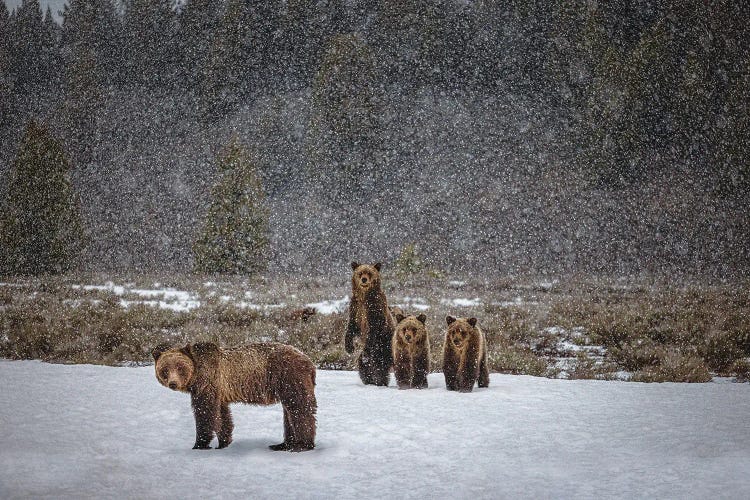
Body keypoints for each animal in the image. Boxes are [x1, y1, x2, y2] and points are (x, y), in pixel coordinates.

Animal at [153, 342, 318, 452]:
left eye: (180, 368)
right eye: (165, 369)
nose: (173, 383)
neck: (196, 376)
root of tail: (309, 361)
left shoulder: (208, 383)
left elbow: (204, 412)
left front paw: (199, 444)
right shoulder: (220, 392)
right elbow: (222, 415)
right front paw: (223, 442)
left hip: (288, 377)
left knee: (299, 408)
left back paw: (302, 445)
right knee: (289, 412)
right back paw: (282, 444)